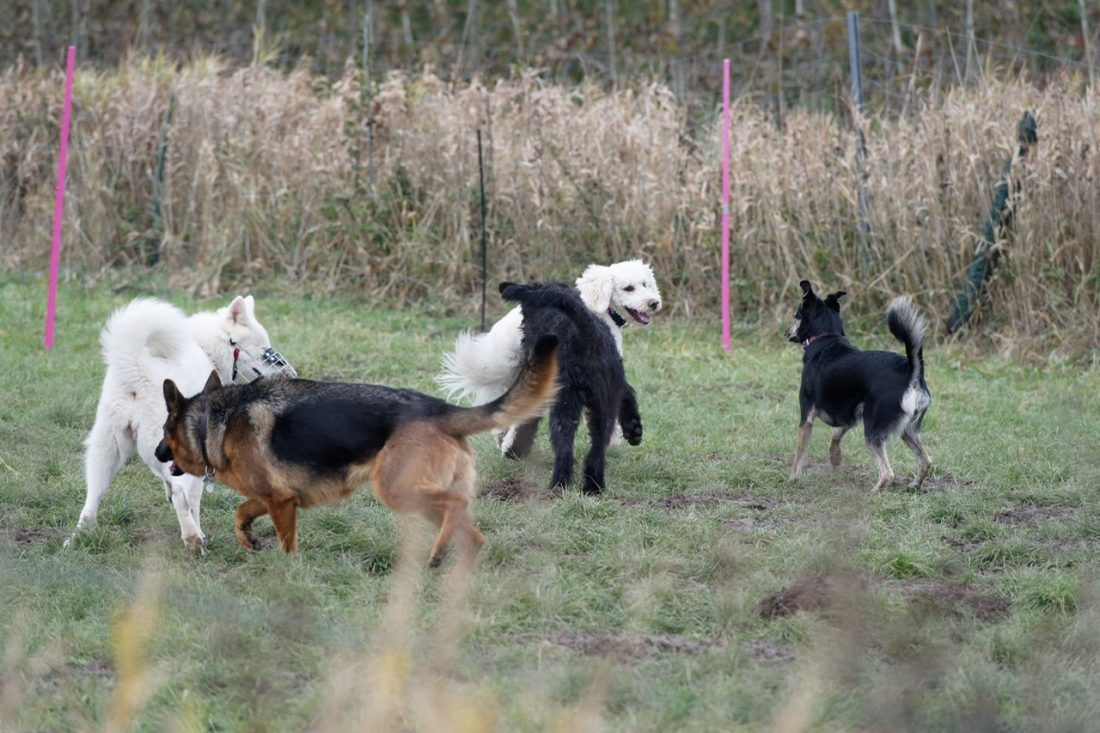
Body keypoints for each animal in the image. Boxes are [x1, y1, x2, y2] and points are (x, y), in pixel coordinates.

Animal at [66, 294, 294, 550]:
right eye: (265, 350)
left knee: (92, 496)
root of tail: (138, 370)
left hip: (106, 449)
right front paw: (198, 531)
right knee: (180, 493)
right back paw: (193, 538)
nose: (287, 373)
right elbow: (191, 498)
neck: (208, 350)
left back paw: (77, 538)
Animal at [155, 334, 558, 561]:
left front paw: (285, 572)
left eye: (164, 431)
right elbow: (241, 513)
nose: (157, 454)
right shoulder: (276, 496)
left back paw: (439, 554)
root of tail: (439, 409)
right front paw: (249, 540)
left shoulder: (281, 502)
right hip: (419, 496)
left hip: (398, 488)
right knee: (472, 535)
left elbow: (286, 544)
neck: (213, 420)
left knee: (457, 505)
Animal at [495, 279, 642, 490]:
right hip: (603, 408)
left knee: (565, 451)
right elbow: (628, 392)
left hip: (564, 407)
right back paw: (593, 486)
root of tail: (588, 333)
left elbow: (526, 424)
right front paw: (633, 428)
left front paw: (514, 451)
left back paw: (558, 485)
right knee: (597, 450)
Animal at [787, 280, 932, 490]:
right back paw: (914, 486)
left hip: (873, 431)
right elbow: (836, 436)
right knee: (926, 461)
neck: (826, 339)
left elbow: (799, 453)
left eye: (795, 316)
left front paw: (793, 479)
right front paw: (835, 457)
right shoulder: (852, 415)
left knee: (888, 474)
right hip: (908, 430)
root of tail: (910, 370)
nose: (786, 333)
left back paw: (875, 491)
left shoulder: (806, 417)